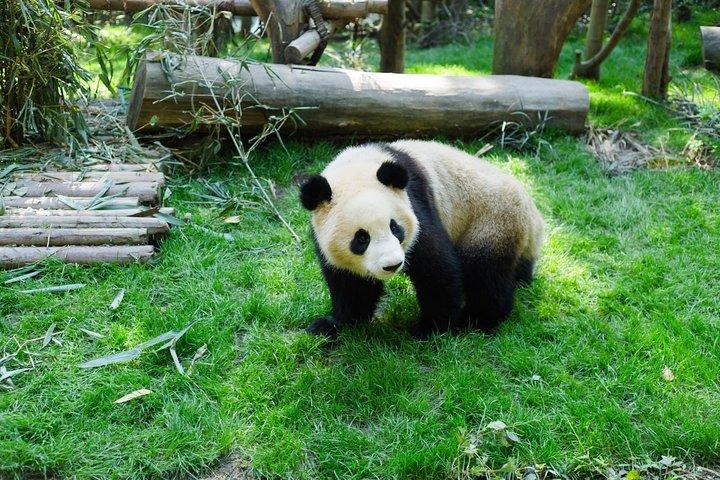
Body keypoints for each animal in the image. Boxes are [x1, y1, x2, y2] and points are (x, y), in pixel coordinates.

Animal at [299, 140, 545, 339]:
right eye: (361, 238)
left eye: (395, 228)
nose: (392, 265)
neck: (356, 169)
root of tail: (533, 217)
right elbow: (352, 286)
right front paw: (331, 325)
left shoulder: (415, 203)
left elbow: (435, 268)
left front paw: (430, 328)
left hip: (491, 220)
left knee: (485, 272)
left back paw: (477, 319)